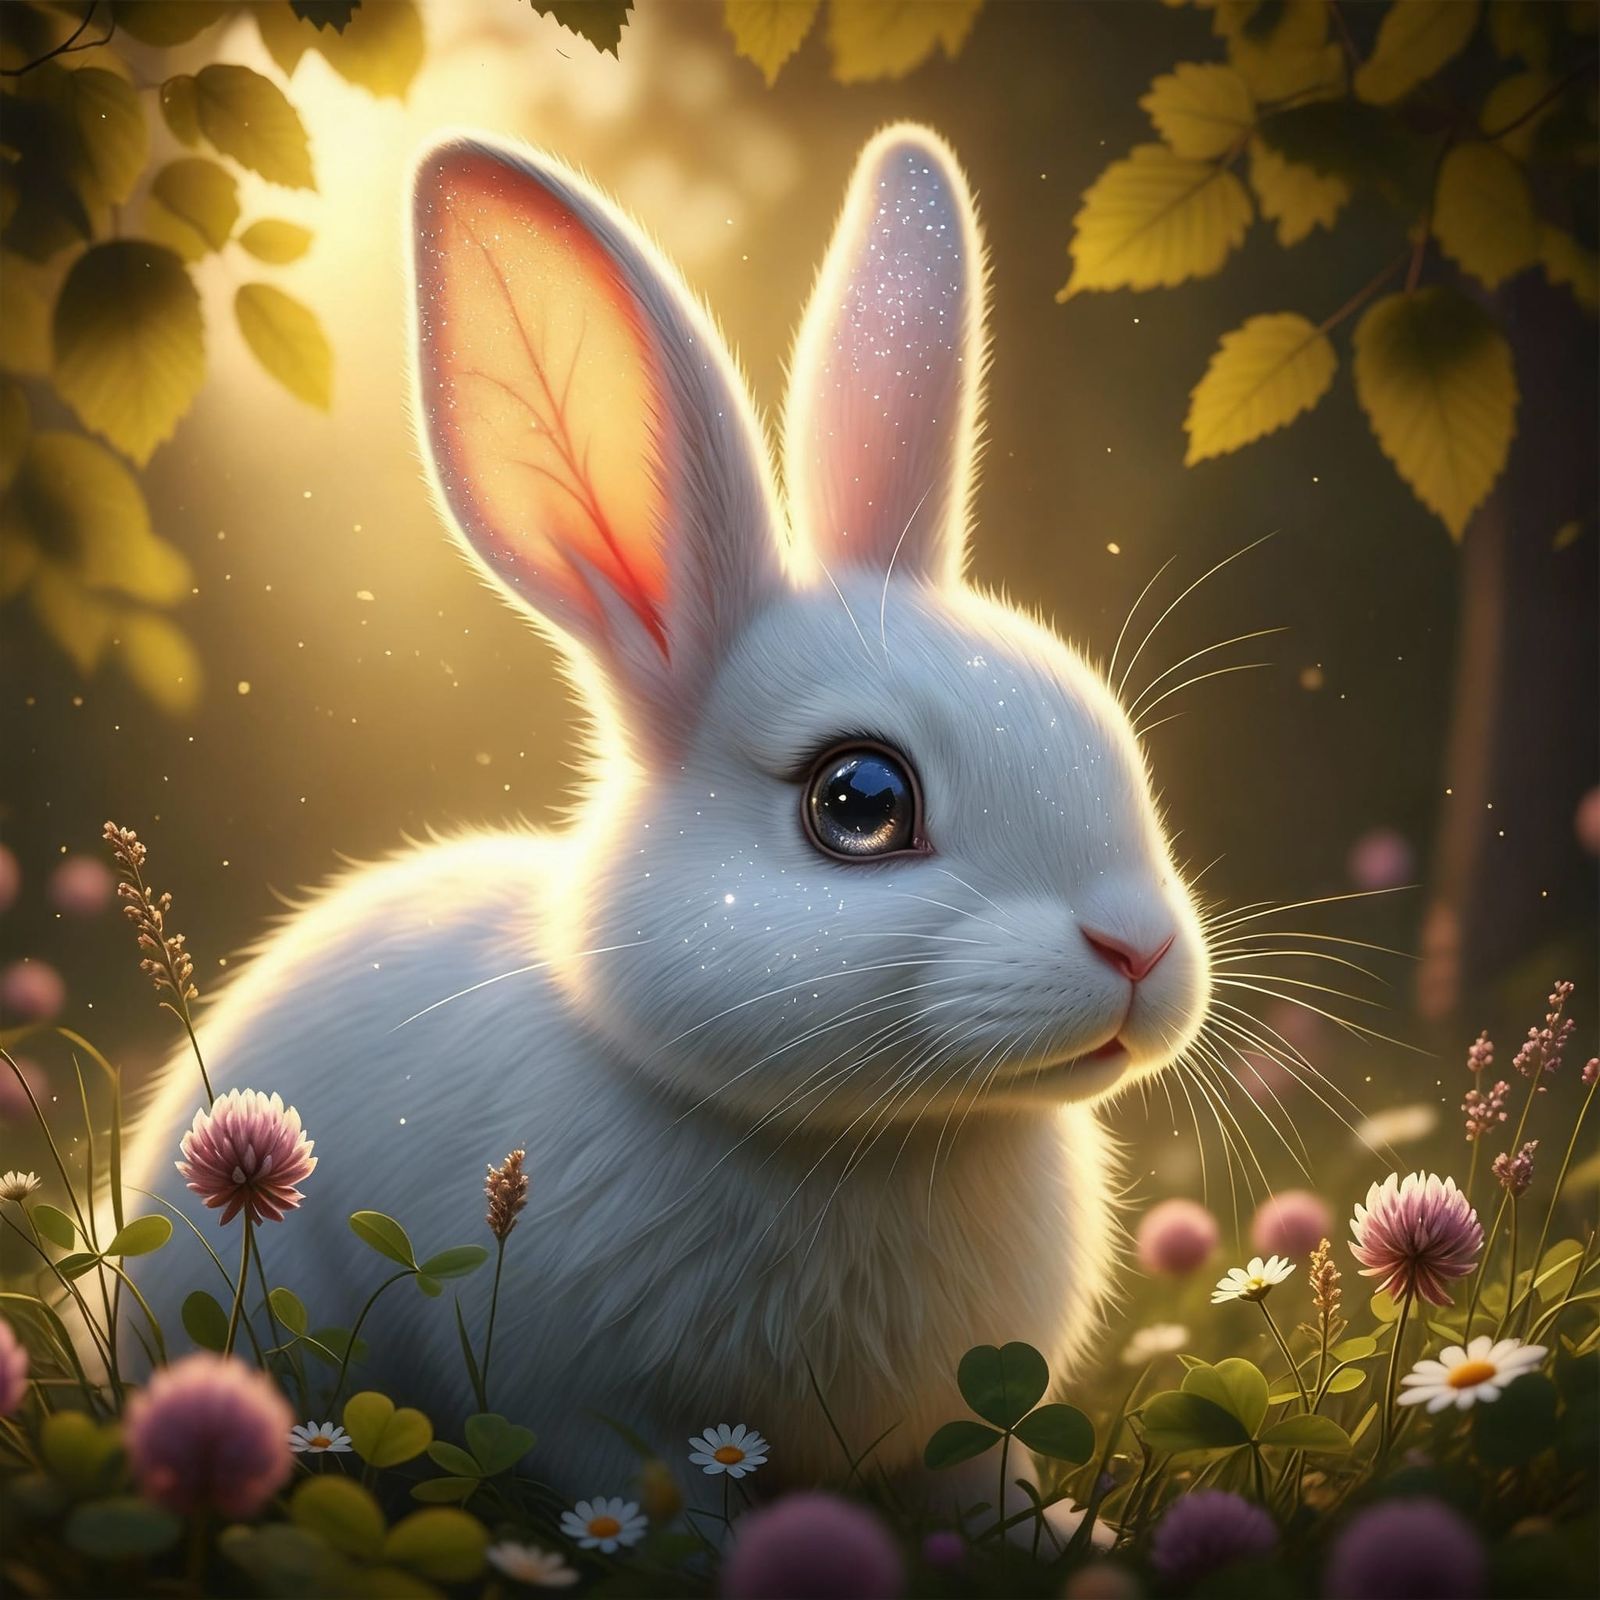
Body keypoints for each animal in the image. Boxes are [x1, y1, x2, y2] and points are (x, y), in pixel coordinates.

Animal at [126, 122, 1211, 1499]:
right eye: (860, 801)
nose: (1140, 950)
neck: (879, 1137)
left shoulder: (964, 1433)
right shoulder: (591, 1408)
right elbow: (664, 1494)